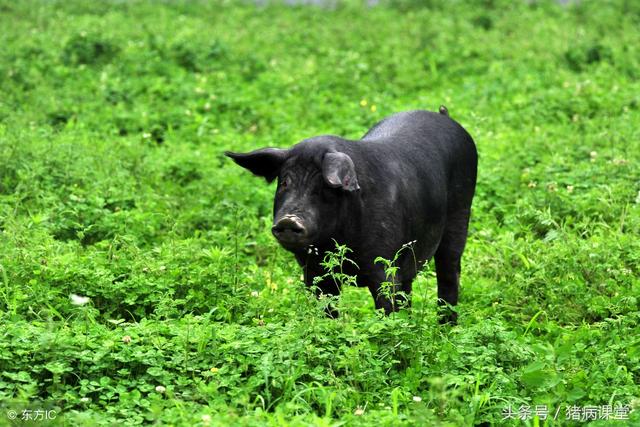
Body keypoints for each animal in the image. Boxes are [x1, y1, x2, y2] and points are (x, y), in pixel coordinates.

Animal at [228, 108, 478, 322]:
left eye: (324, 186)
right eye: (285, 183)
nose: (289, 219)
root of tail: (445, 116)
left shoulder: (384, 266)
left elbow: (386, 309)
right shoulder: (315, 273)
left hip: (460, 214)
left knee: (449, 274)